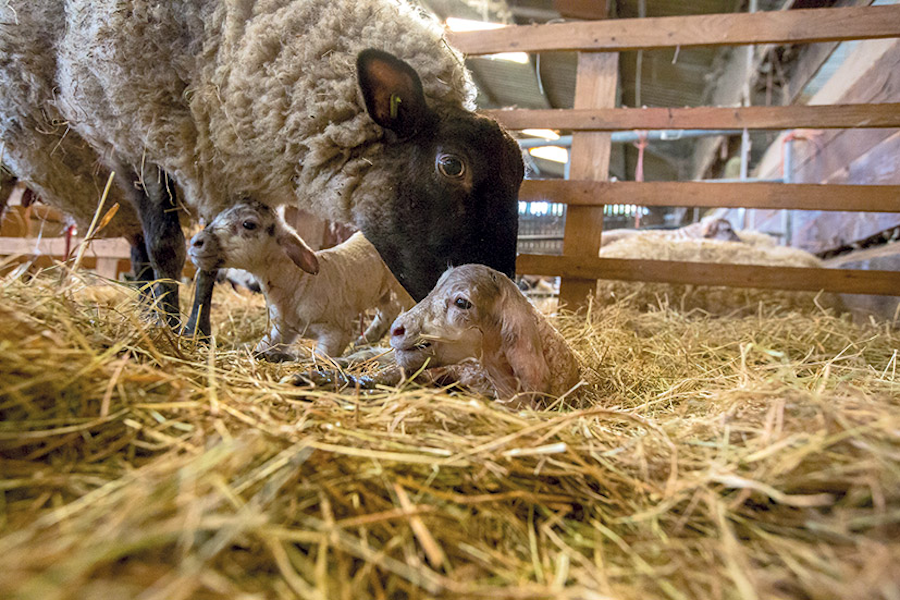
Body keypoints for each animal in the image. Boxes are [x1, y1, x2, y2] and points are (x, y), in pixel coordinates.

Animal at [0, 0, 520, 338]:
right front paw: (172, 333)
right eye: (451, 165)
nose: (493, 292)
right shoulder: (135, 139)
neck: (220, 34)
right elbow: (169, 246)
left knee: (136, 250)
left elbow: (208, 258)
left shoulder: (218, 164)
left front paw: (196, 333)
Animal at [192, 202, 414, 360]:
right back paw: (365, 340)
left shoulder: (335, 332)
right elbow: (263, 346)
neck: (299, 283)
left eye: (248, 224)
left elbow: (321, 358)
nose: (196, 242)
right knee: (388, 310)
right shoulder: (283, 329)